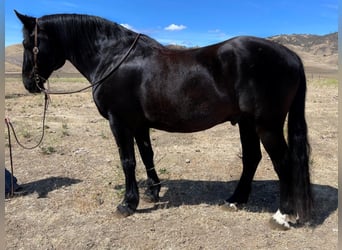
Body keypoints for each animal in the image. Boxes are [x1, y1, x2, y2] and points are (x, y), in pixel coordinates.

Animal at [15, 10, 312, 228]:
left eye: (28, 44)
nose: (29, 83)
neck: (112, 58)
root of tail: (292, 56)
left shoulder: (119, 122)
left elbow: (128, 161)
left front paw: (128, 203)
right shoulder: (139, 124)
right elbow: (147, 155)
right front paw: (152, 192)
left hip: (267, 125)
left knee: (283, 162)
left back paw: (282, 216)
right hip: (247, 123)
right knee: (252, 158)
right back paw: (235, 200)